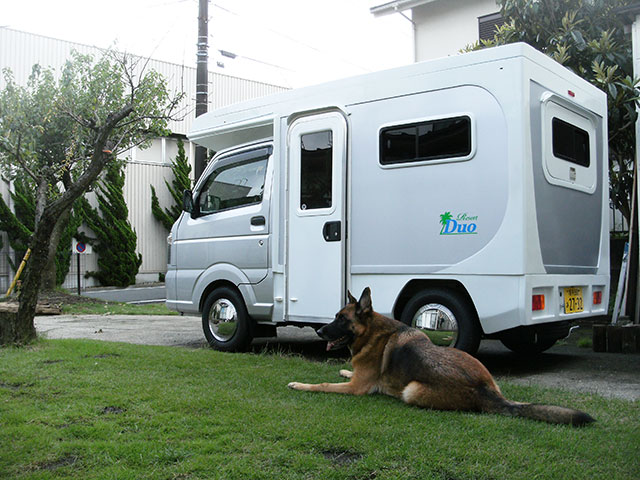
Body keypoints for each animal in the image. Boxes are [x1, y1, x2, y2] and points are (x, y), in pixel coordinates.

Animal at [290, 286, 596, 426]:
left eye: (341, 319)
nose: (320, 331)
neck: (372, 332)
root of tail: (484, 390)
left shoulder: (357, 388)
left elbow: (322, 385)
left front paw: (300, 384)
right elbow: (347, 373)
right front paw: (344, 369)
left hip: (412, 390)